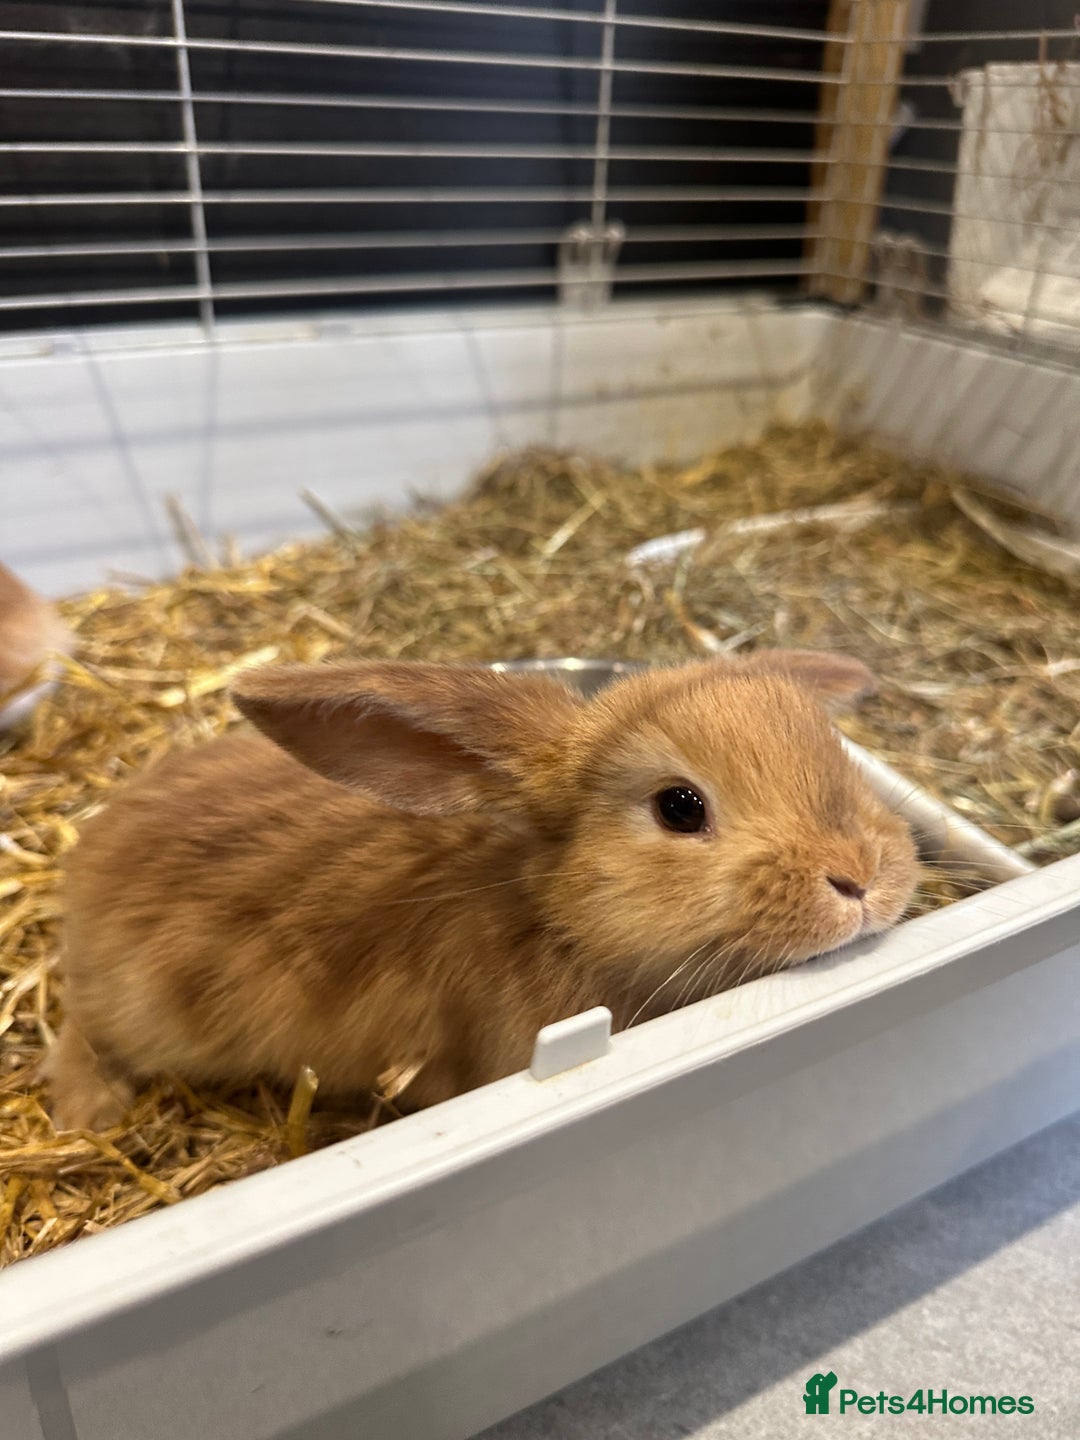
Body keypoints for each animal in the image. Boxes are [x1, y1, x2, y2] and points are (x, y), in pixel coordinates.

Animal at [46, 649, 920, 1132]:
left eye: (833, 751)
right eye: (680, 806)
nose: (861, 877)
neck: (553, 922)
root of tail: (88, 860)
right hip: (138, 1014)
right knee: (81, 1033)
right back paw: (89, 1111)